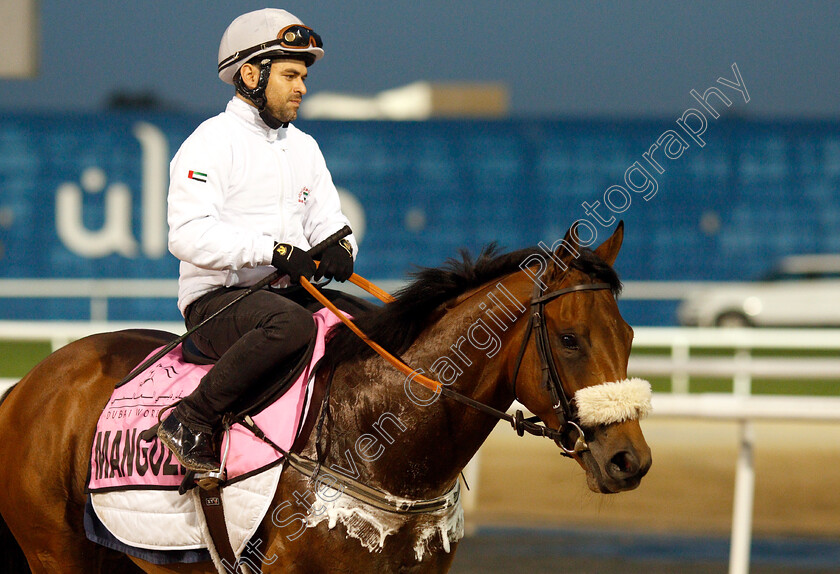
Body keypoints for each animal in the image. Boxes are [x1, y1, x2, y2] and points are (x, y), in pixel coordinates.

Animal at [0, 223, 648, 572]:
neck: (377, 437)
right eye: (569, 338)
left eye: (628, 335)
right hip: (57, 553)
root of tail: (27, 385)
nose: (629, 460)